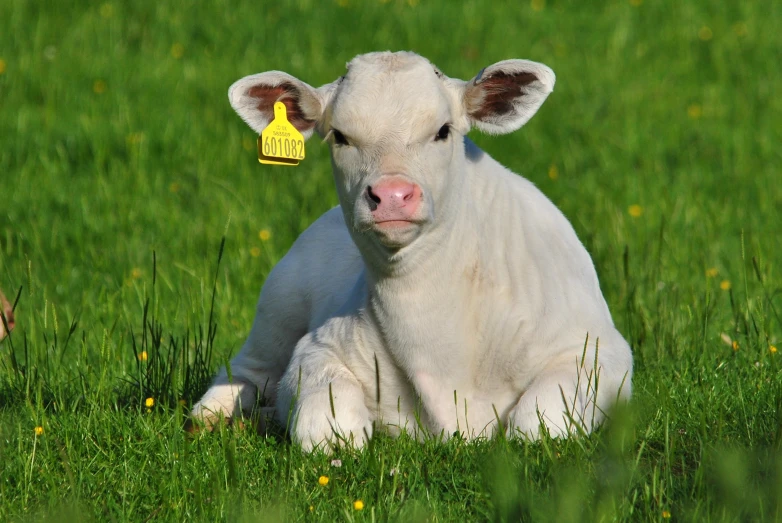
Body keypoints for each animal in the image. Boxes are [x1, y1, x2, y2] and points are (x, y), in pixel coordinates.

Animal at [193, 51, 632, 450]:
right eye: (340, 136)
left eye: (442, 131)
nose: (391, 195)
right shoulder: (319, 347)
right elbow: (327, 426)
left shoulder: (599, 353)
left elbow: (538, 424)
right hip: (277, 308)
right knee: (246, 372)